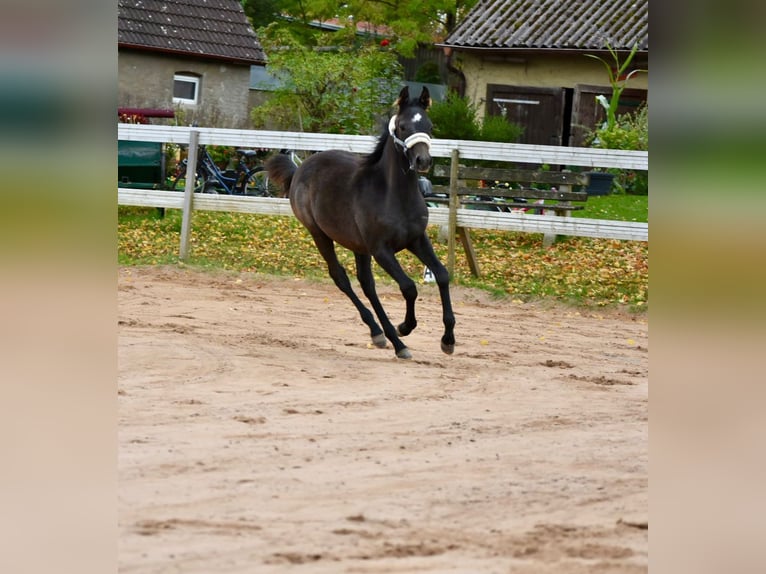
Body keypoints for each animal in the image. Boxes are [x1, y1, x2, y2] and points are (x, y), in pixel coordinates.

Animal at [265, 86, 455, 360]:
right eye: (403, 127)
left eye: (429, 125)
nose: (423, 161)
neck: (394, 194)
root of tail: (299, 169)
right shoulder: (381, 250)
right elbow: (409, 287)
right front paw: (405, 327)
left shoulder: (417, 239)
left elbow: (441, 275)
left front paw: (448, 340)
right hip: (319, 234)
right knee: (341, 278)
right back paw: (394, 340)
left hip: (358, 246)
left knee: (367, 284)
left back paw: (381, 334)